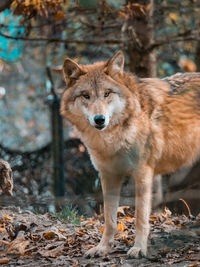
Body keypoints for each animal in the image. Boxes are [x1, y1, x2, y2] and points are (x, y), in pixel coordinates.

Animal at [60, 51, 200, 258]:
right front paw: (103, 248)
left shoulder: (143, 173)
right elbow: (109, 220)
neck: (112, 139)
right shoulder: (108, 175)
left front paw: (139, 248)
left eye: (107, 93)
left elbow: (140, 218)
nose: (99, 119)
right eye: (86, 96)